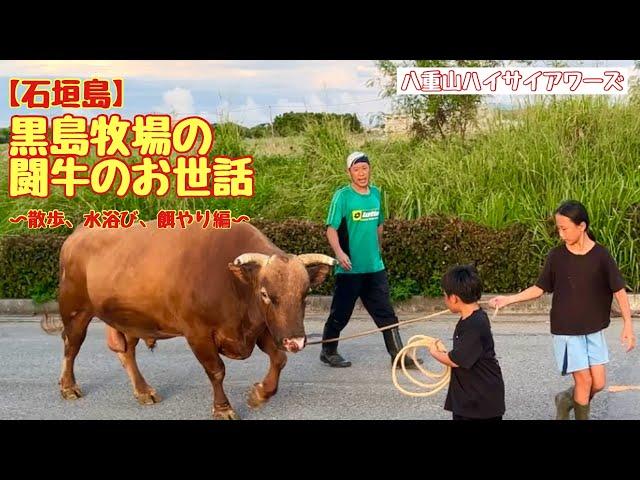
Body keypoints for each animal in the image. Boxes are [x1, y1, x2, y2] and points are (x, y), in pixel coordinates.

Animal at [48, 221, 338, 420]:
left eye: (305, 293)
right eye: (265, 294)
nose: (295, 340)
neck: (233, 285)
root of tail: (77, 234)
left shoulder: (262, 329)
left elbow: (279, 359)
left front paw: (259, 394)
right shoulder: (198, 333)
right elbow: (217, 370)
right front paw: (223, 408)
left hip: (130, 318)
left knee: (126, 352)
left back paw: (143, 391)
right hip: (75, 311)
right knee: (71, 346)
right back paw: (68, 386)